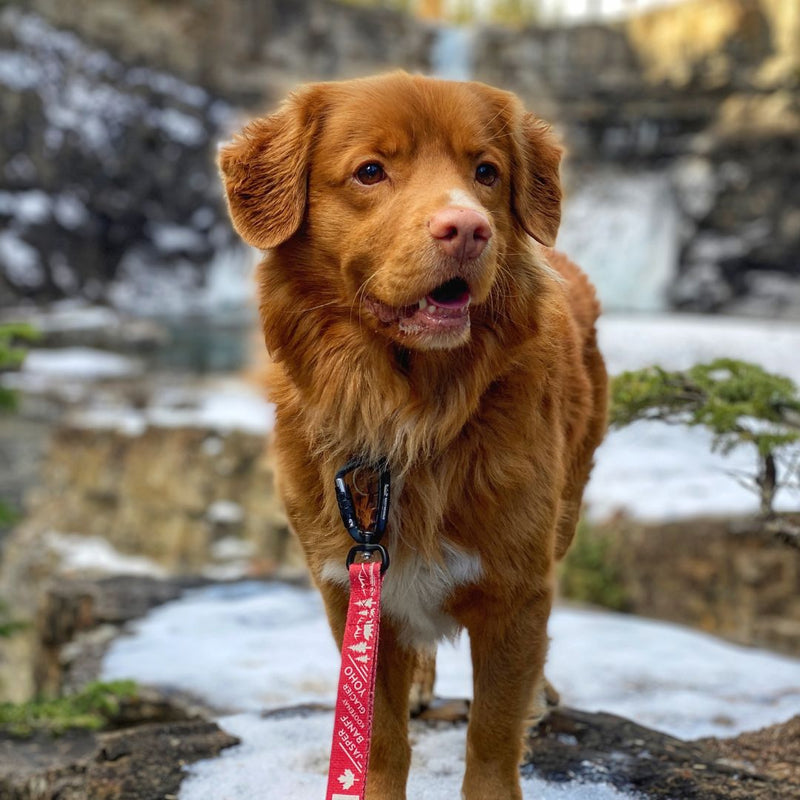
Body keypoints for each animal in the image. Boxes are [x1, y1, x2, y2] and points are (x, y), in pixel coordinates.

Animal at [219, 72, 608, 796]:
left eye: (486, 172)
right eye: (371, 171)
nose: (470, 229)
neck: (409, 413)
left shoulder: (516, 588)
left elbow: (491, 736)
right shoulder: (350, 585)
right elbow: (376, 733)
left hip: (566, 508)